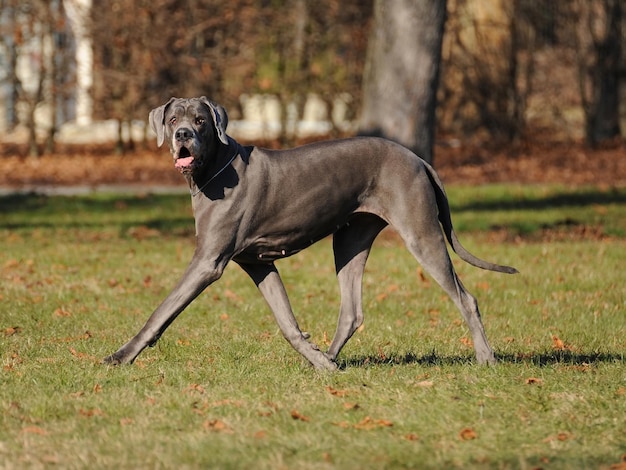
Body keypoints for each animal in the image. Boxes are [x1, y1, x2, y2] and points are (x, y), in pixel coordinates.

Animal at [103, 96, 516, 370]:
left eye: (201, 120)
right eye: (173, 118)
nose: (183, 135)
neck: (215, 172)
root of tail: (417, 158)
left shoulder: (208, 262)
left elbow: (161, 311)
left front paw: (120, 356)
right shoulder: (259, 263)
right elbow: (287, 321)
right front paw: (317, 361)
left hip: (421, 233)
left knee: (466, 298)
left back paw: (486, 359)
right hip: (349, 241)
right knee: (352, 311)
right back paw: (331, 358)